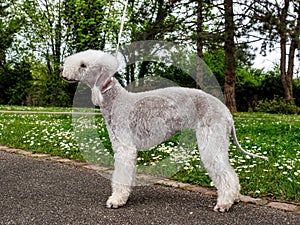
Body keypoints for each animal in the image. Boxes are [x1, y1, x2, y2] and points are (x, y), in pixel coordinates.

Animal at [60, 49, 268, 213]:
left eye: (83, 65)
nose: (61, 70)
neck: (115, 100)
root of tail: (227, 112)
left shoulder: (125, 148)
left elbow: (120, 175)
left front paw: (116, 200)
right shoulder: (124, 147)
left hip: (211, 140)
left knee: (225, 174)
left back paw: (224, 203)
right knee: (231, 172)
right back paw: (235, 197)